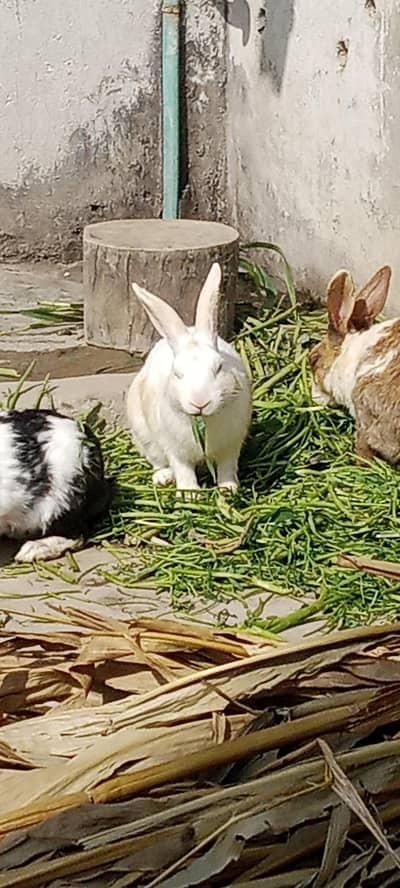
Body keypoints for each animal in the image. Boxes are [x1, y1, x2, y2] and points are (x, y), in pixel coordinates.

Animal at [126, 263, 252, 493]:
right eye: (177, 373)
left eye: (219, 367)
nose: (200, 402)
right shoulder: (175, 449)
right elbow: (182, 469)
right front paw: (189, 494)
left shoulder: (231, 446)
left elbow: (227, 467)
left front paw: (228, 489)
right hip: (143, 435)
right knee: (157, 461)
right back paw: (163, 478)